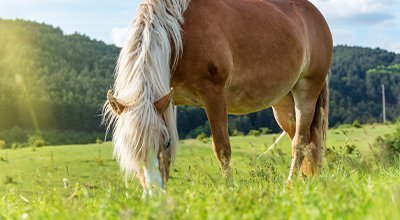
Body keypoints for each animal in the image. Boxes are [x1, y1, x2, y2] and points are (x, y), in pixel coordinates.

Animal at [103, 0, 332, 196]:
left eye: (165, 143)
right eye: (128, 148)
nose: (154, 196)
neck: (180, 34)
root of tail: (316, 15)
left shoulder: (214, 95)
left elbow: (222, 148)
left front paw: (229, 190)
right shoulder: (169, 100)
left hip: (307, 89)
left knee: (301, 141)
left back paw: (289, 185)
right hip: (283, 102)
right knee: (302, 141)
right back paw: (307, 181)